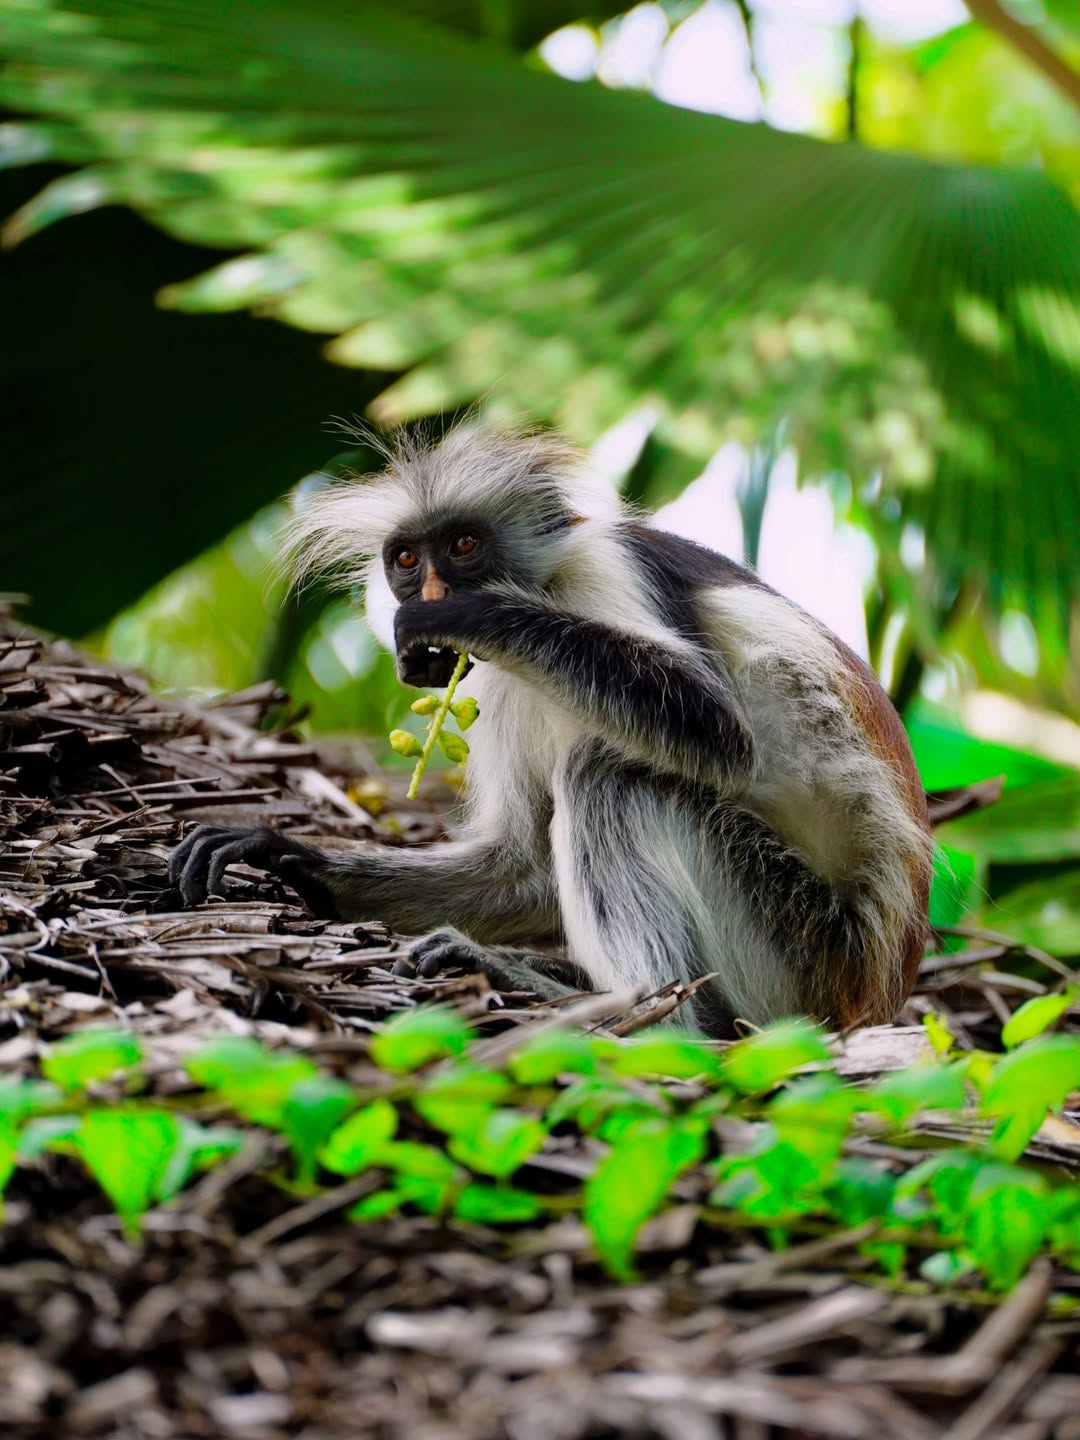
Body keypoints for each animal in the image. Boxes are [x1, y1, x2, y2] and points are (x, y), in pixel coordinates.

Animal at [169, 425, 933, 1033]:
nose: (433, 592)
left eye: (465, 544)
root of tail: (876, 987)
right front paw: (286, 856)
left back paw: (640, 1010)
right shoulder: (496, 686)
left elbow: (719, 730)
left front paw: (472, 613)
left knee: (608, 773)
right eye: (407, 560)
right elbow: (522, 863)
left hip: (804, 950)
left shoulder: (606, 569)